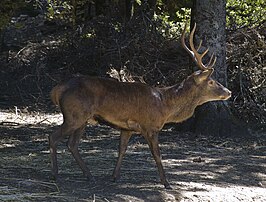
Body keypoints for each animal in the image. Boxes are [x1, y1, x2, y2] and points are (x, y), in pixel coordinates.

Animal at [49, 22, 231, 189]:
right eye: (211, 81)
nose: (228, 92)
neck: (165, 105)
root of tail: (57, 89)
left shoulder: (126, 128)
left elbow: (122, 149)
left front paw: (114, 176)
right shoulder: (150, 126)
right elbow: (157, 154)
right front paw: (166, 183)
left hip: (83, 119)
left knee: (72, 144)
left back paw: (89, 176)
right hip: (74, 115)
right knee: (53, 137)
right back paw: (56, 175)